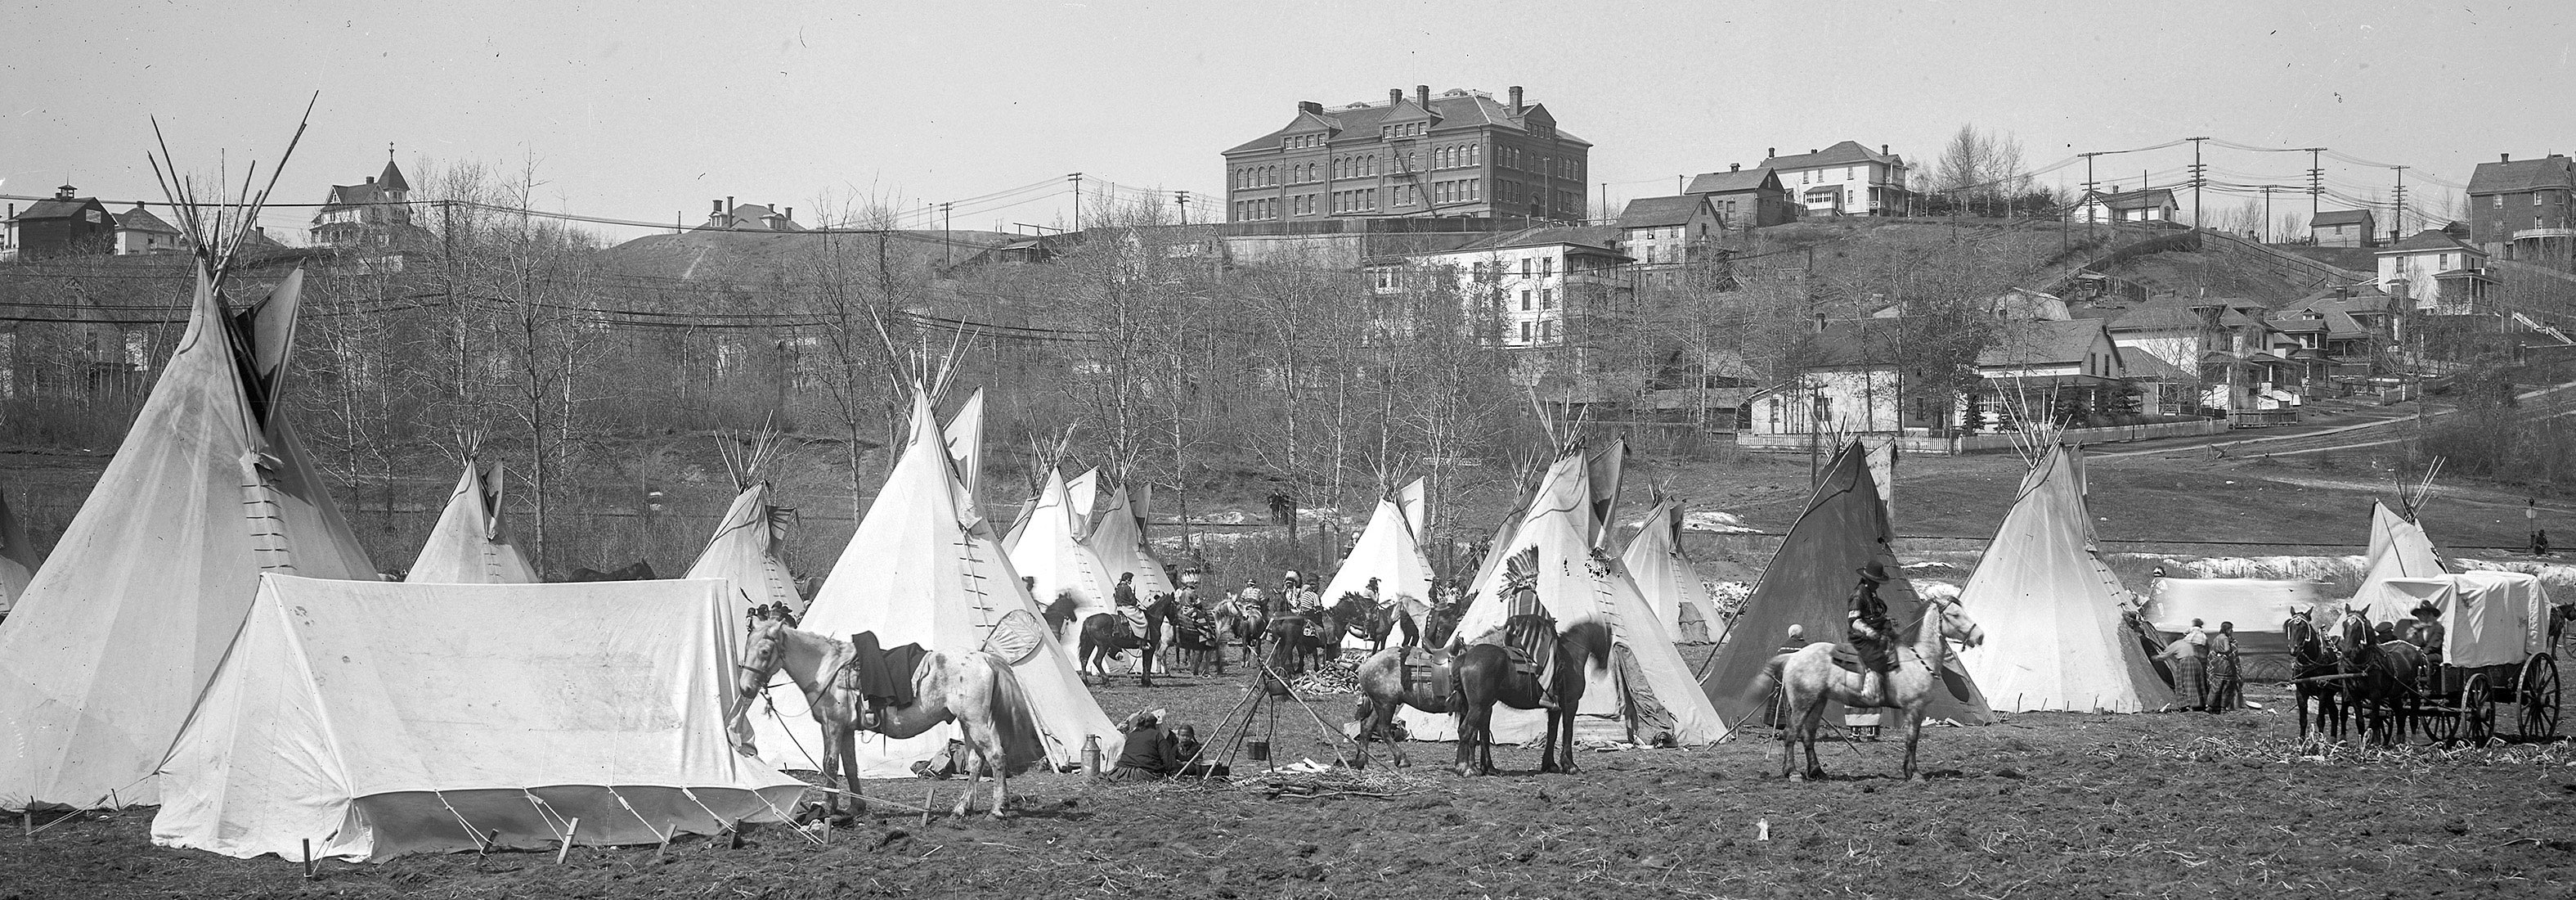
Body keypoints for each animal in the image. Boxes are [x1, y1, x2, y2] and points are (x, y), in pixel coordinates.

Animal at [731, 616, 1040, 820]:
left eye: (765, 651)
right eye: (746, 647)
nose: (745, 688)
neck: (826, 668)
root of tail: (984, 658)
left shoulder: (833, 726)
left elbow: (830, 764)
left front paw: (827, 807)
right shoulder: (846, 730)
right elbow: (850, 766)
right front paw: (856, 807)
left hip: (977, 722)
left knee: (996, 756)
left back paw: (998, 809)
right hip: (967, 723)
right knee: (976, 761)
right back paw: (963, 808)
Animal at [1452, 614, 1607, 773]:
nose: (1603, 668)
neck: (1571, 658)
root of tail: (1465, 657)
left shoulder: (1555, 709)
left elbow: (1552, 733)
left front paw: (1550, 764)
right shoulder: (1570, 704)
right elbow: (1567, 732)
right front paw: (1570, 766)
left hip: (1476, 705)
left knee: (1473, 733)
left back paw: (1477, 767)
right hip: (1478, 706)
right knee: (1466, 730)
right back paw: (1466, 768)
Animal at [1752, 587, 1988, 778]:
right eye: (1955, 614)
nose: (1980, 636)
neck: (1918, 658)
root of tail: (1792, 657)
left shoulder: (1917, 709)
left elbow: (1912, 739)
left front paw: (1908, 771)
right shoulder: (1914, 707)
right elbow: (1912, 740)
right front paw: (1915, 774)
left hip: (1818, 702)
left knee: (1808, 735)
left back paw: (1817, 772)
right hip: (1802, 703)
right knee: (1791, 733)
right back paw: (1792, 773)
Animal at [2297, 605, 2359, 737]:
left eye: (2304, 627)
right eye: (2289, 626)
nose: (2294, 649)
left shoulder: (2323, 693)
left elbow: (2320, 720)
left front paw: (2320, 740)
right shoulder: (2301, 692)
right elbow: (2303, 719)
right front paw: (2301, 740)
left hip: (2344, 691)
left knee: (2343, 714)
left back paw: (2342, 738)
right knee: (2334, 713)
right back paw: (2333, 738)